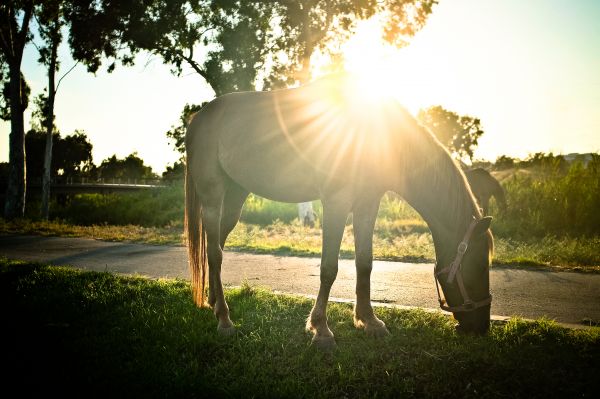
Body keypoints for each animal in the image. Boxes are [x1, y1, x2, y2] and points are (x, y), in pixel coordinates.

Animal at [184, 75, 492, 350]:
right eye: (478, 265)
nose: (481, 327)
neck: (380, 137)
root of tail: (200, 117)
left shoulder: (368, 204)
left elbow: (365, 263)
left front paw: (369, 321)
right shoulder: (336, 202)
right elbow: (329, 268)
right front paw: (321, 329)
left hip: (235, 198)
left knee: (216, 247)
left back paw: (214, 302)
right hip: (213, 196)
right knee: (215, 253)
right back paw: (224, 320)